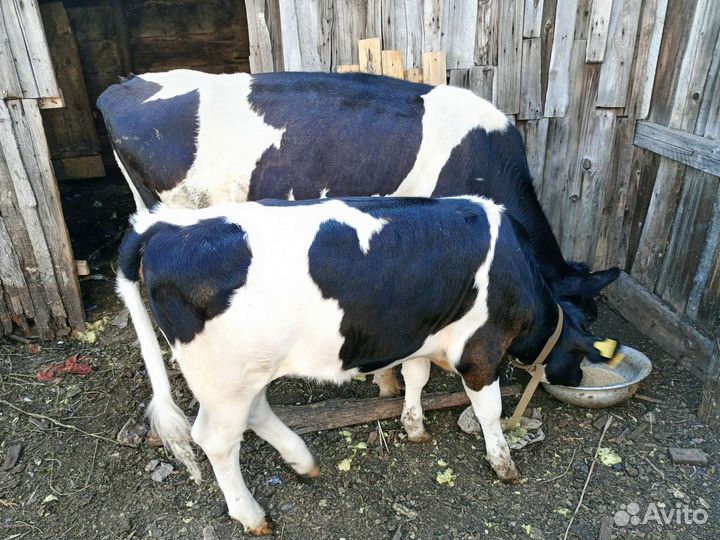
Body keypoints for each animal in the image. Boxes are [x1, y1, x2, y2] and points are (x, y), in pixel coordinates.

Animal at [117, 196, 614, 535]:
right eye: (582, 342)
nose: (578, 377)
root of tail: (162, 224)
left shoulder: (420, 335)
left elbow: (416, 377)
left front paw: (413, 425)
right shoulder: (480, 350)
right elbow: (489, 411)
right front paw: (504, 464)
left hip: (247, 371)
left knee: (254, 413)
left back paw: (302, 460)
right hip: (224, 377)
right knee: (217, 440)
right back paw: (251, 513)